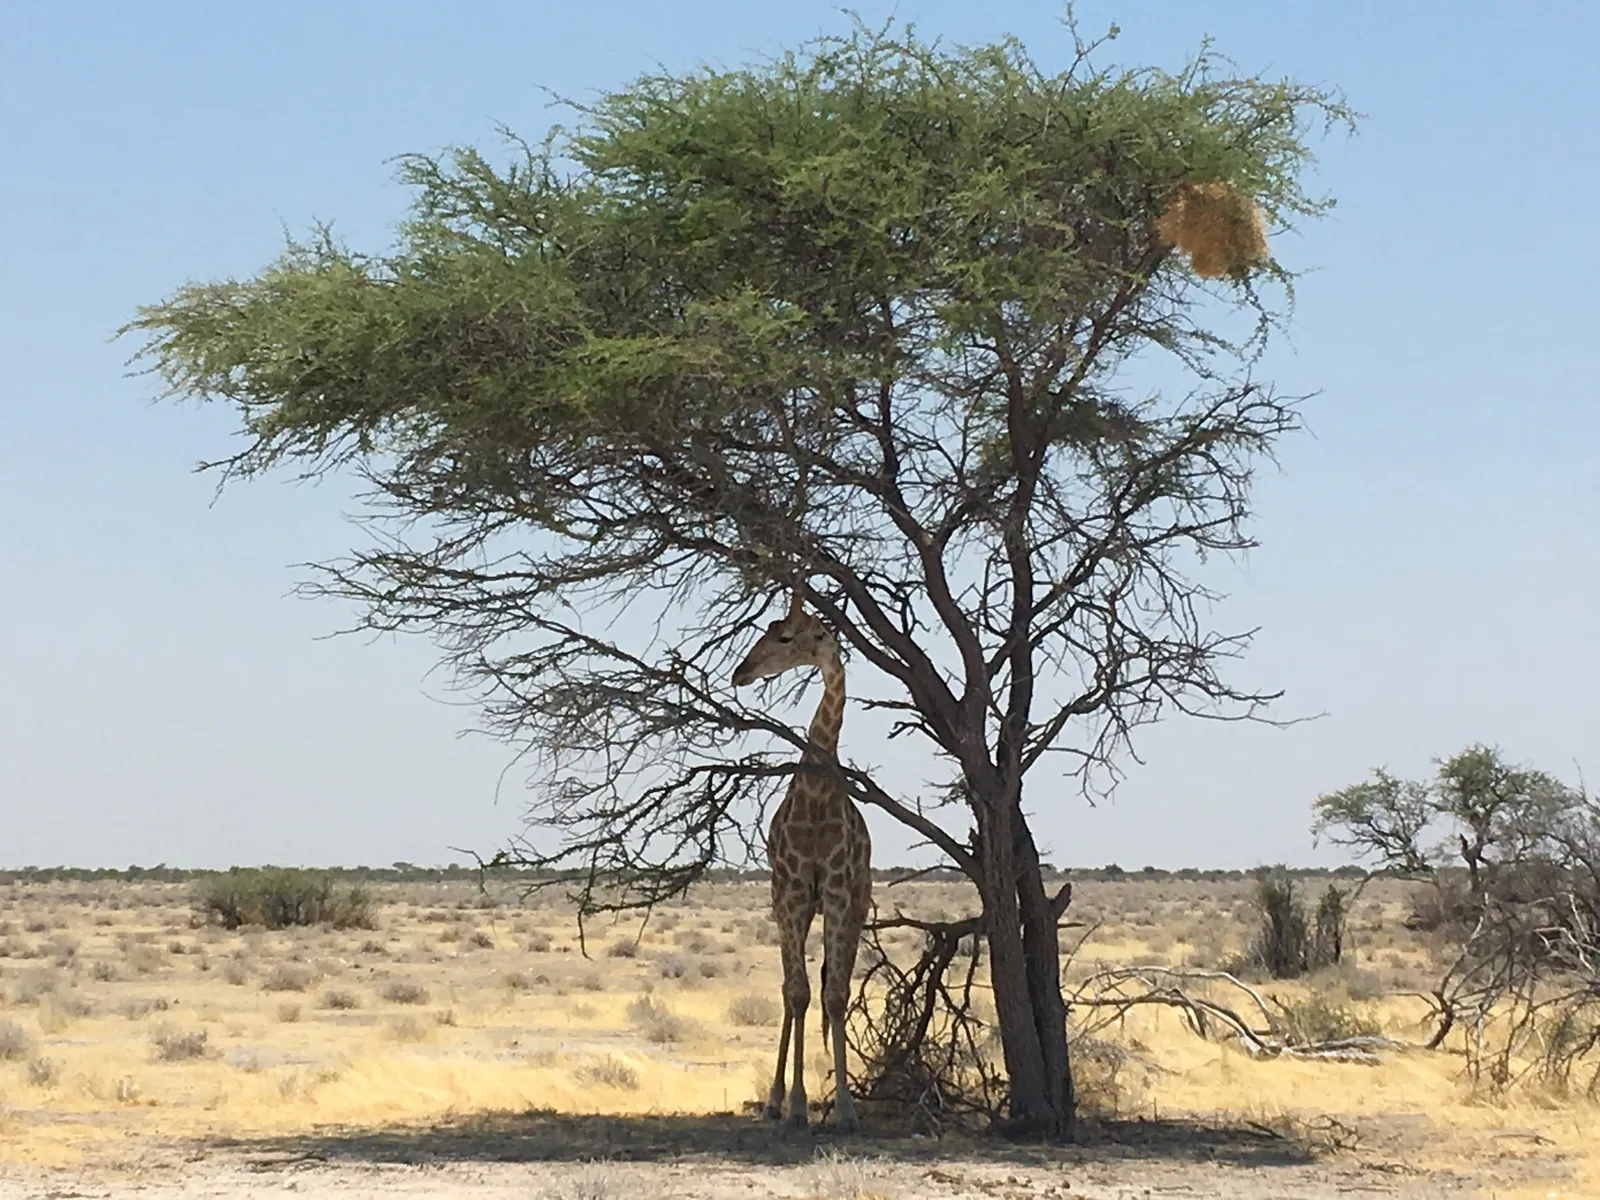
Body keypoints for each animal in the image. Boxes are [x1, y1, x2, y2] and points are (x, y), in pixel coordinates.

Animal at [732, 593, 871, 1130]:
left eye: (787, 636)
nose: (741, 672)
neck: (814, 791)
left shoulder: (834, 889)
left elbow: (833, 994)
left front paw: (847, 1110)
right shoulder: (790, 891)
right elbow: (797, 993)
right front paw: (792, 1105)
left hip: (855, 903)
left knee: (834, 985)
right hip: (787, 903)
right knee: (790, 988)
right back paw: (774, 1102)